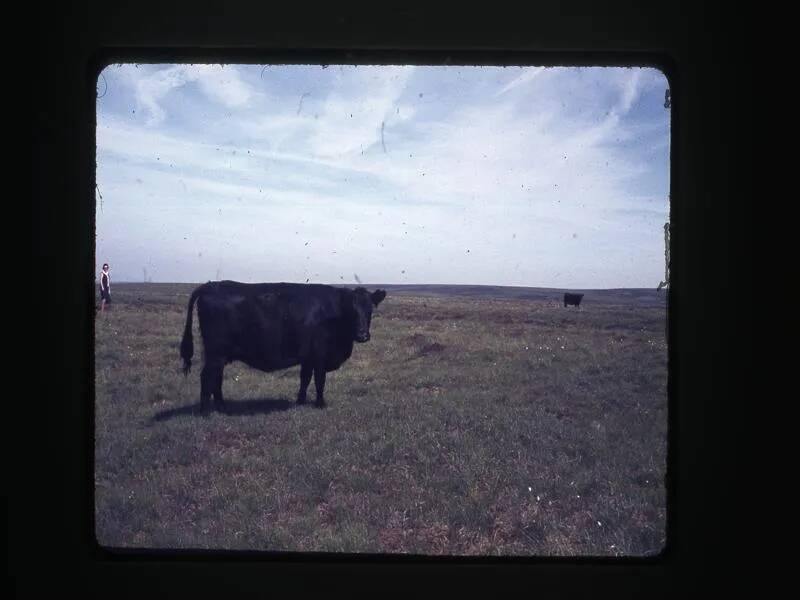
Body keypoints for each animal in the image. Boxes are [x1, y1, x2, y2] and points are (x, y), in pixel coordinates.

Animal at [180, 282, 386, 412]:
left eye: (370, 309)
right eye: (352, 310)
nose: (362, 335)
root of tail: (210, 285)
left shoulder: (307, 357)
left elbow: (305, 378)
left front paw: (301, 401)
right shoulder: (320, 354)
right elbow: (319, 380)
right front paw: (321, 404)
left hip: (219, 355)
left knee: (217, 378)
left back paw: (222, 407)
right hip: (216, 353)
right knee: (207, 377)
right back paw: (205, 412)